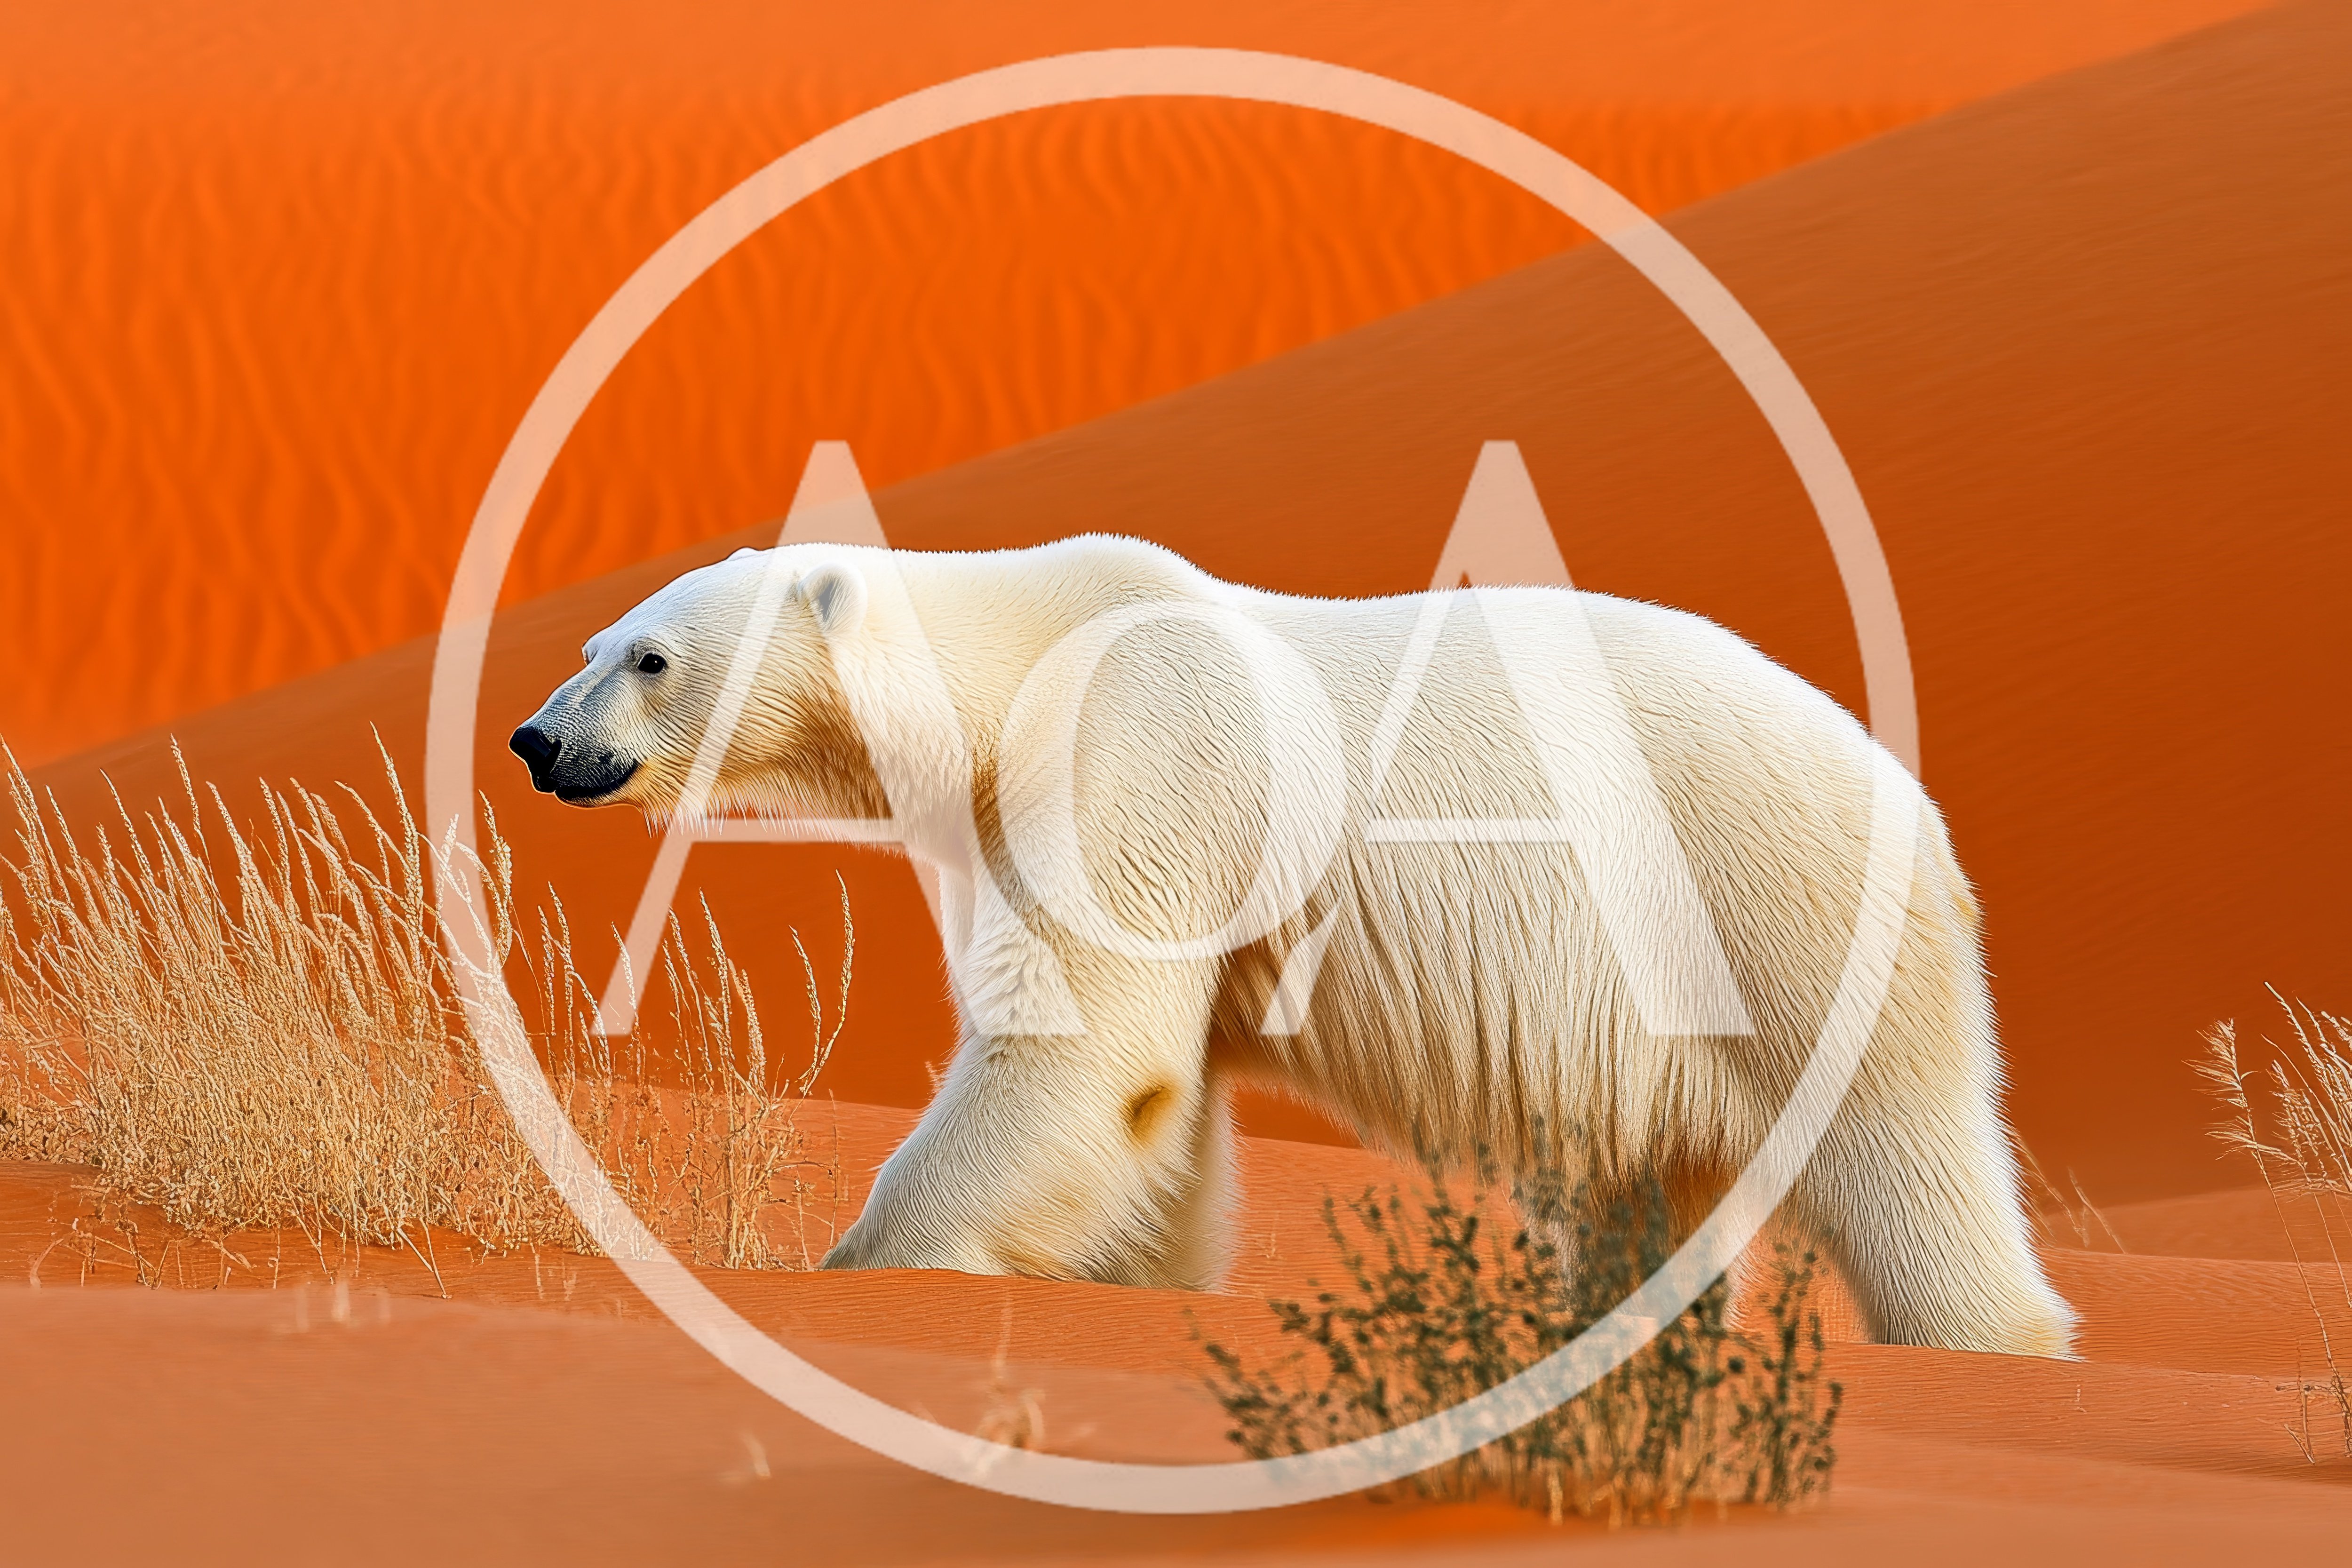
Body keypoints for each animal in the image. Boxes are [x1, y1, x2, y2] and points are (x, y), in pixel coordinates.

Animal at [510, 534, 2076, 1358]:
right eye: (594, 642)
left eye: (648, 657)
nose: (534, 740)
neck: (1029, 650)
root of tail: (1917, 806)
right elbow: (1160, 1100)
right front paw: (1132, 1278)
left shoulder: (1147, 752)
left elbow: (1081, 1042)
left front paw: (879, 1260)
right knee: (1652, 1185)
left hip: (1764, 904)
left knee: (1902, 1155)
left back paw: (1990, 1337)